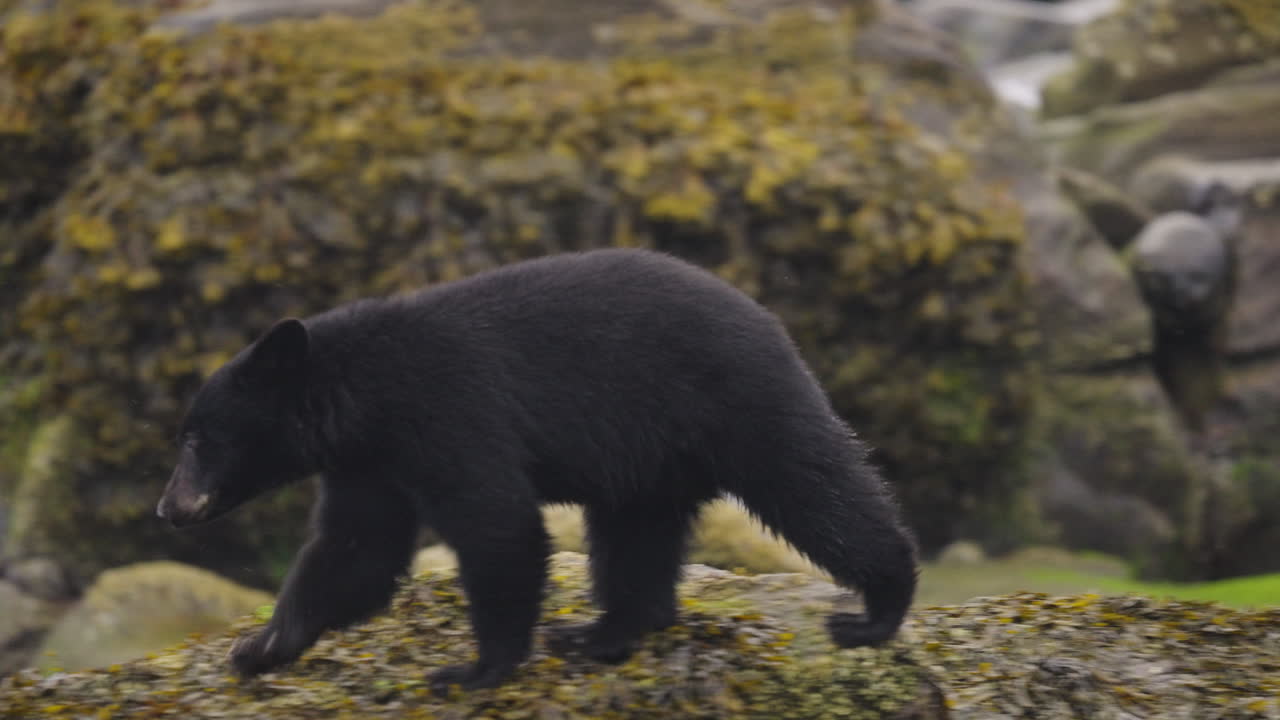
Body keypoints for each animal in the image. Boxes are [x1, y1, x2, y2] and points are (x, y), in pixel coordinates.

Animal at [155, 248, 918, 693]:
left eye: (197, 437)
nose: (167, 508)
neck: (365, 395)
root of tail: (770, 319)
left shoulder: (450, 411)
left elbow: (499, 527)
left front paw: (474, 670)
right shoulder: (369, 462)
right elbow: (355, 550)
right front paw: (259, 647)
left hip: (734, 404)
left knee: (813, 488)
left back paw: (879, 609)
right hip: (648, 460)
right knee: (635, 537)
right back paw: (600, 633)